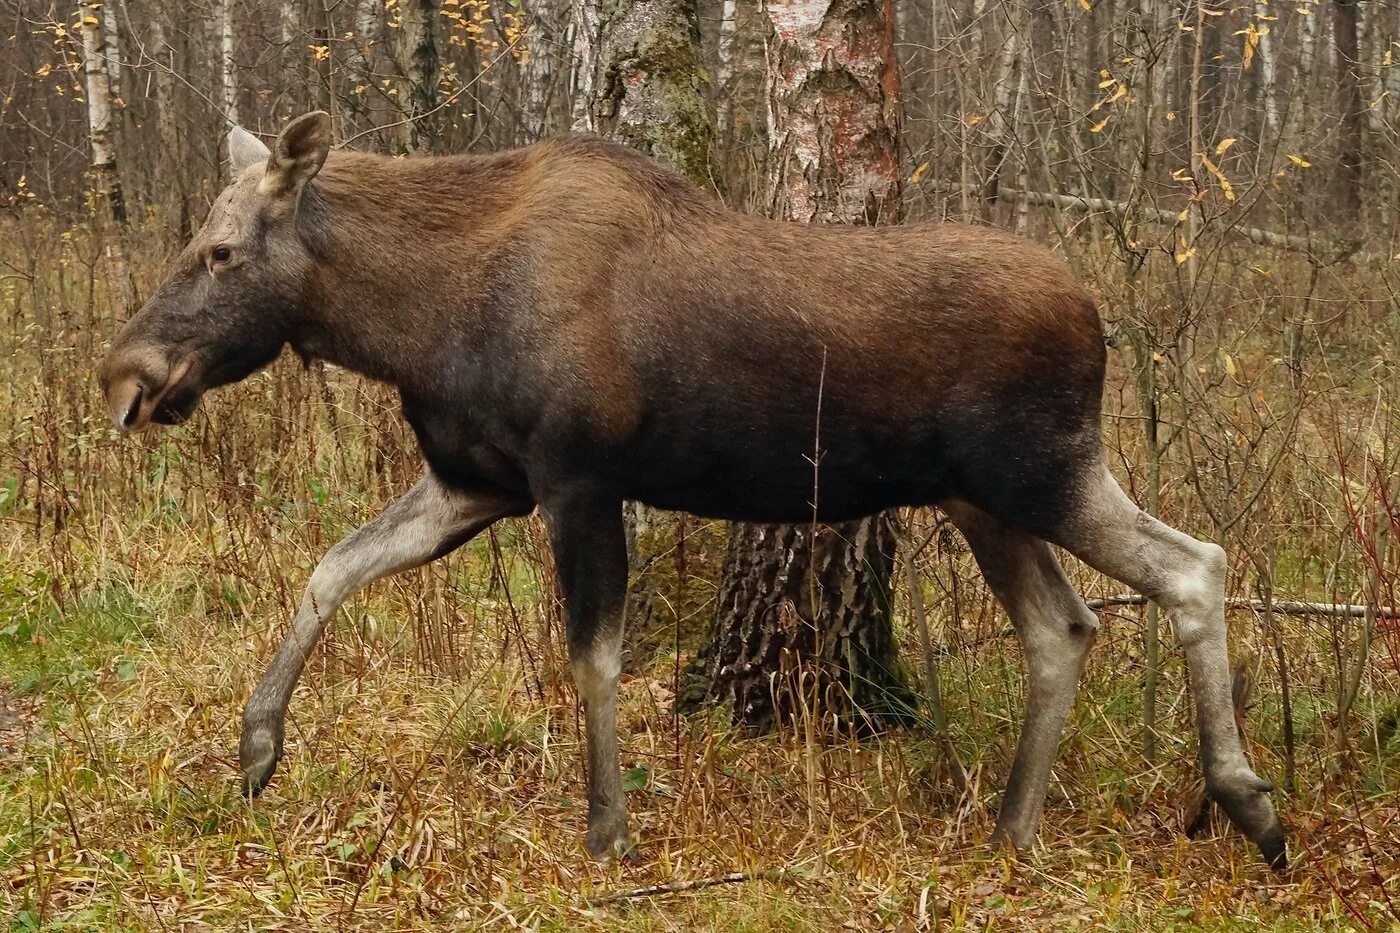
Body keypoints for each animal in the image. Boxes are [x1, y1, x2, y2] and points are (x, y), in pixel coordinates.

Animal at [95, 114, 1282, 862]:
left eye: (219, 250)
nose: (127, 374)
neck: (416, 320)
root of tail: (1096, 318)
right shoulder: (475, 481)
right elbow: (328, 570)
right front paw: (256, 747)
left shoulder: (574, 479)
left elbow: (593, 657)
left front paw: (608, 830)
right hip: (981, 500)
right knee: (1065, 625)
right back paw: (1013, 825)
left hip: (1042, 470)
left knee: (1194, 564)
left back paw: (1245, 803)